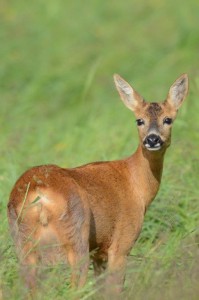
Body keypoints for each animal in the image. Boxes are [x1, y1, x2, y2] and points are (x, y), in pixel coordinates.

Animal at [7, 73, 188, 296]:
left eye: (168, 119)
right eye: (139, 120)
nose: (152, 139)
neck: (137, 184)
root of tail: (39, 194)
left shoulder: (99, 251)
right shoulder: (121, 243)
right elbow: (114, 290)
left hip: (22, 242)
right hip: (76, 235)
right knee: (75, 288)